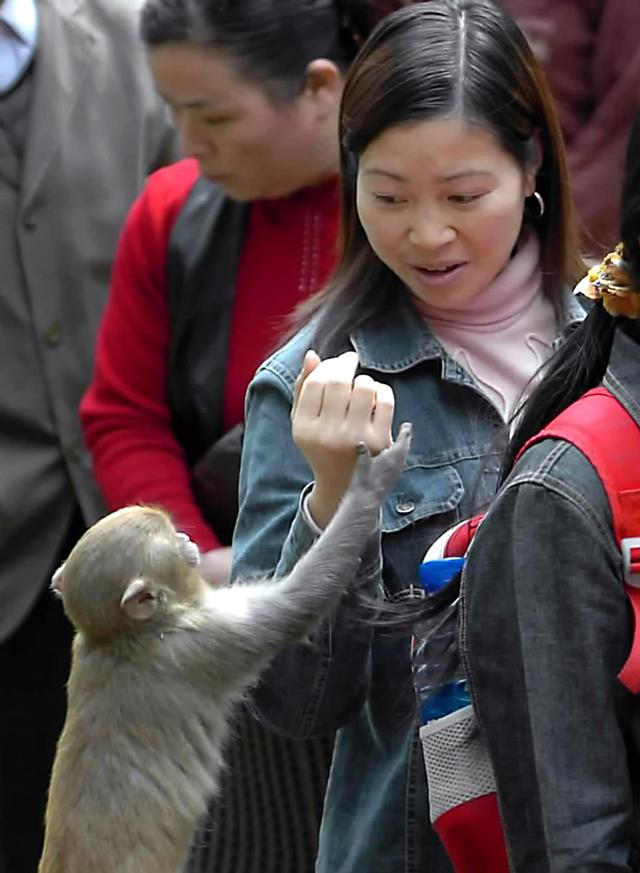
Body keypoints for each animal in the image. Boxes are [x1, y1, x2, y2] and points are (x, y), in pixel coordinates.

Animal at [38, 424, 410, 872]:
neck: (122, 637)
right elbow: (299, 604)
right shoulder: (205, 640)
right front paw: (368, 485)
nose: (188, 539)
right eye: (172, 541)